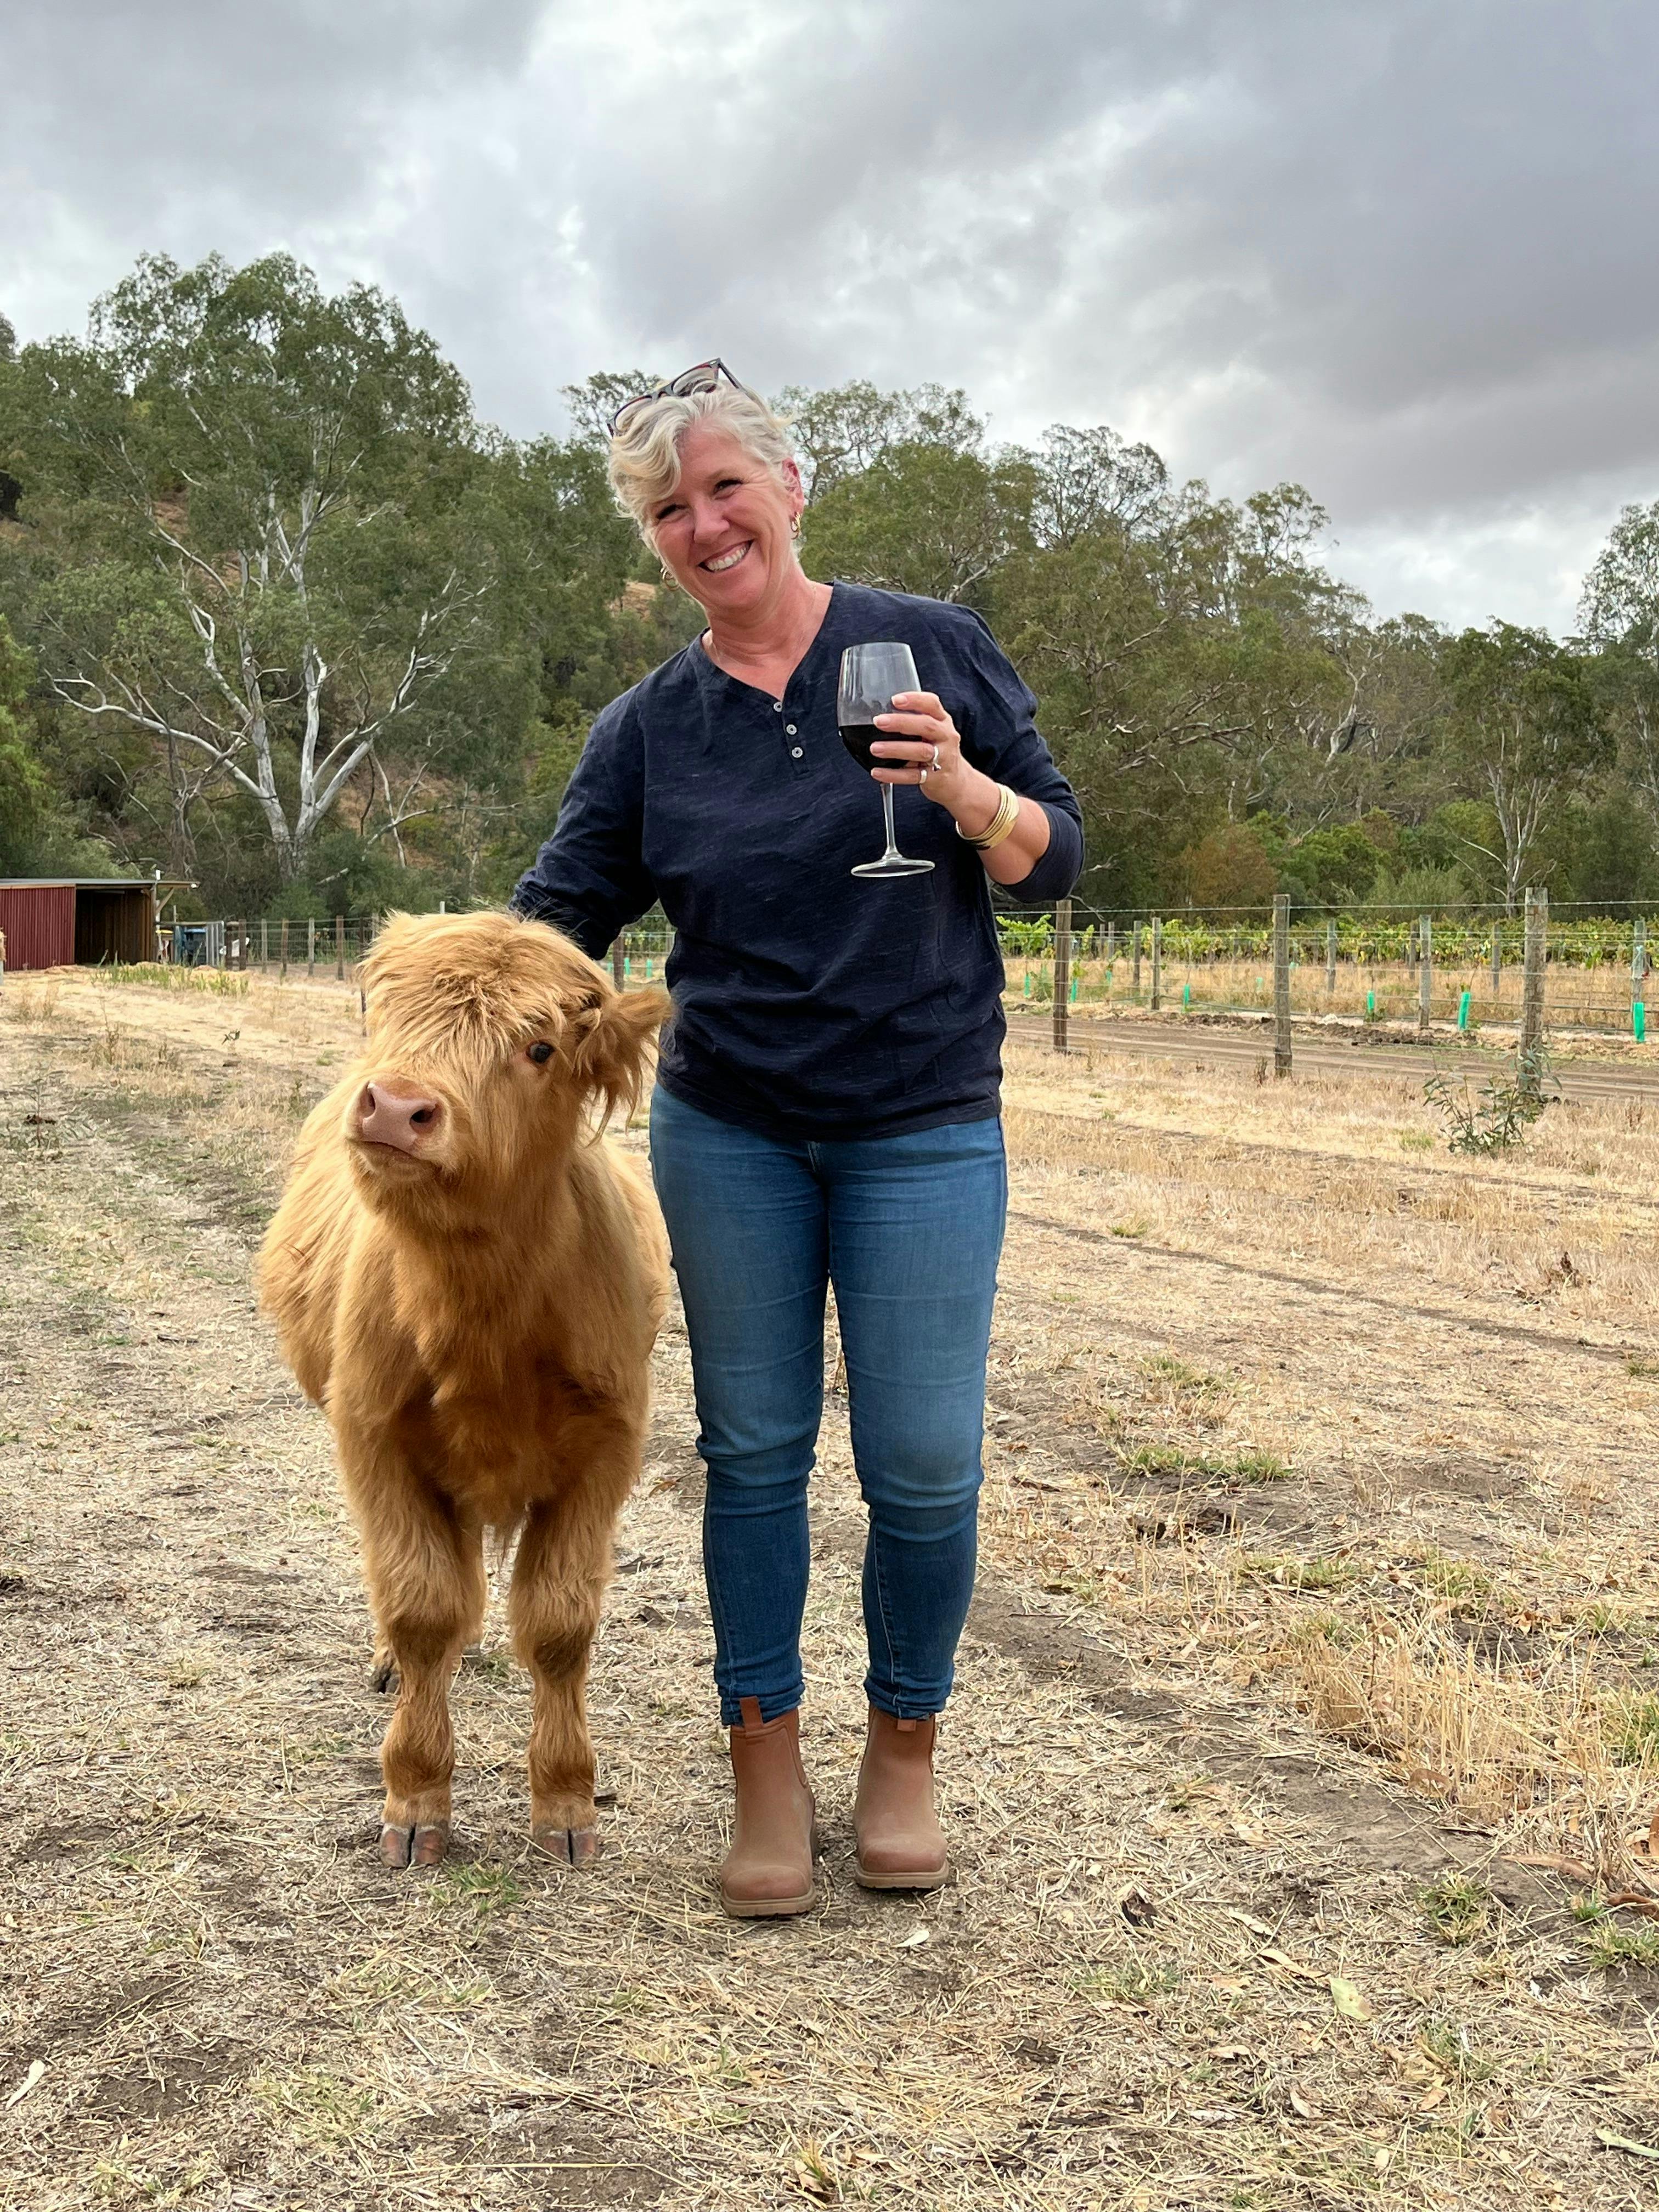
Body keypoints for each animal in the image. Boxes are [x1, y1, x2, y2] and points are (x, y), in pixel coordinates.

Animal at [258, 911, 671, 1869]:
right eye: (385, 1012)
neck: (482, 1320)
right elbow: (420, 1606)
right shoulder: (373, 1440)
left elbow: (559, 1624)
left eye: (540, 1047)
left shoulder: (606, 1452)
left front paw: (566, 1802)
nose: (395, 1107)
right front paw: (415, 1799)